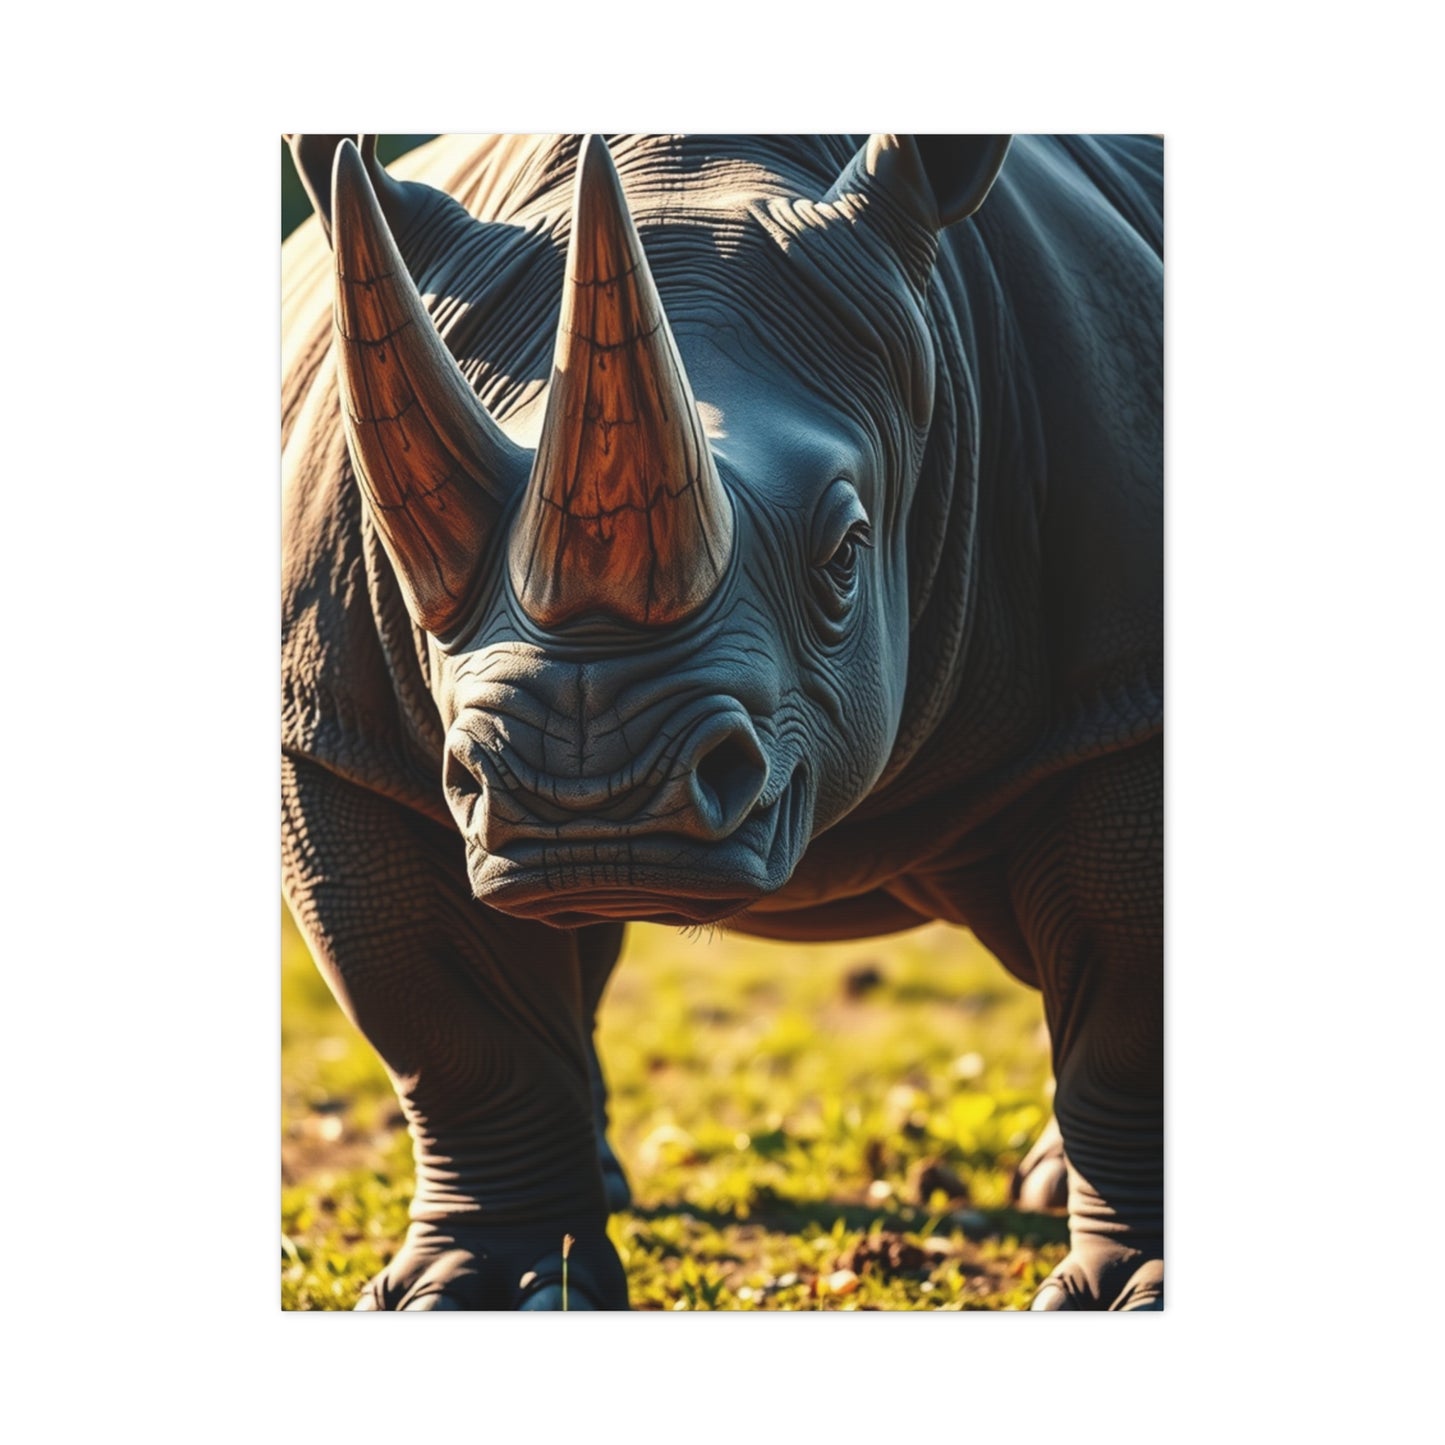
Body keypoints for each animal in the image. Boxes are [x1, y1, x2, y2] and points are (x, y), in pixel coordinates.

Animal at [280, 132, 1163, 1311]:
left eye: (844, 549)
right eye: (404, 543)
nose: (585, 799)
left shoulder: (1124, 693)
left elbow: (1127, 1002)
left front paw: (1134, 1291)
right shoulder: (340, 733)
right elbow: (452, 1027)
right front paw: (488, 1290)